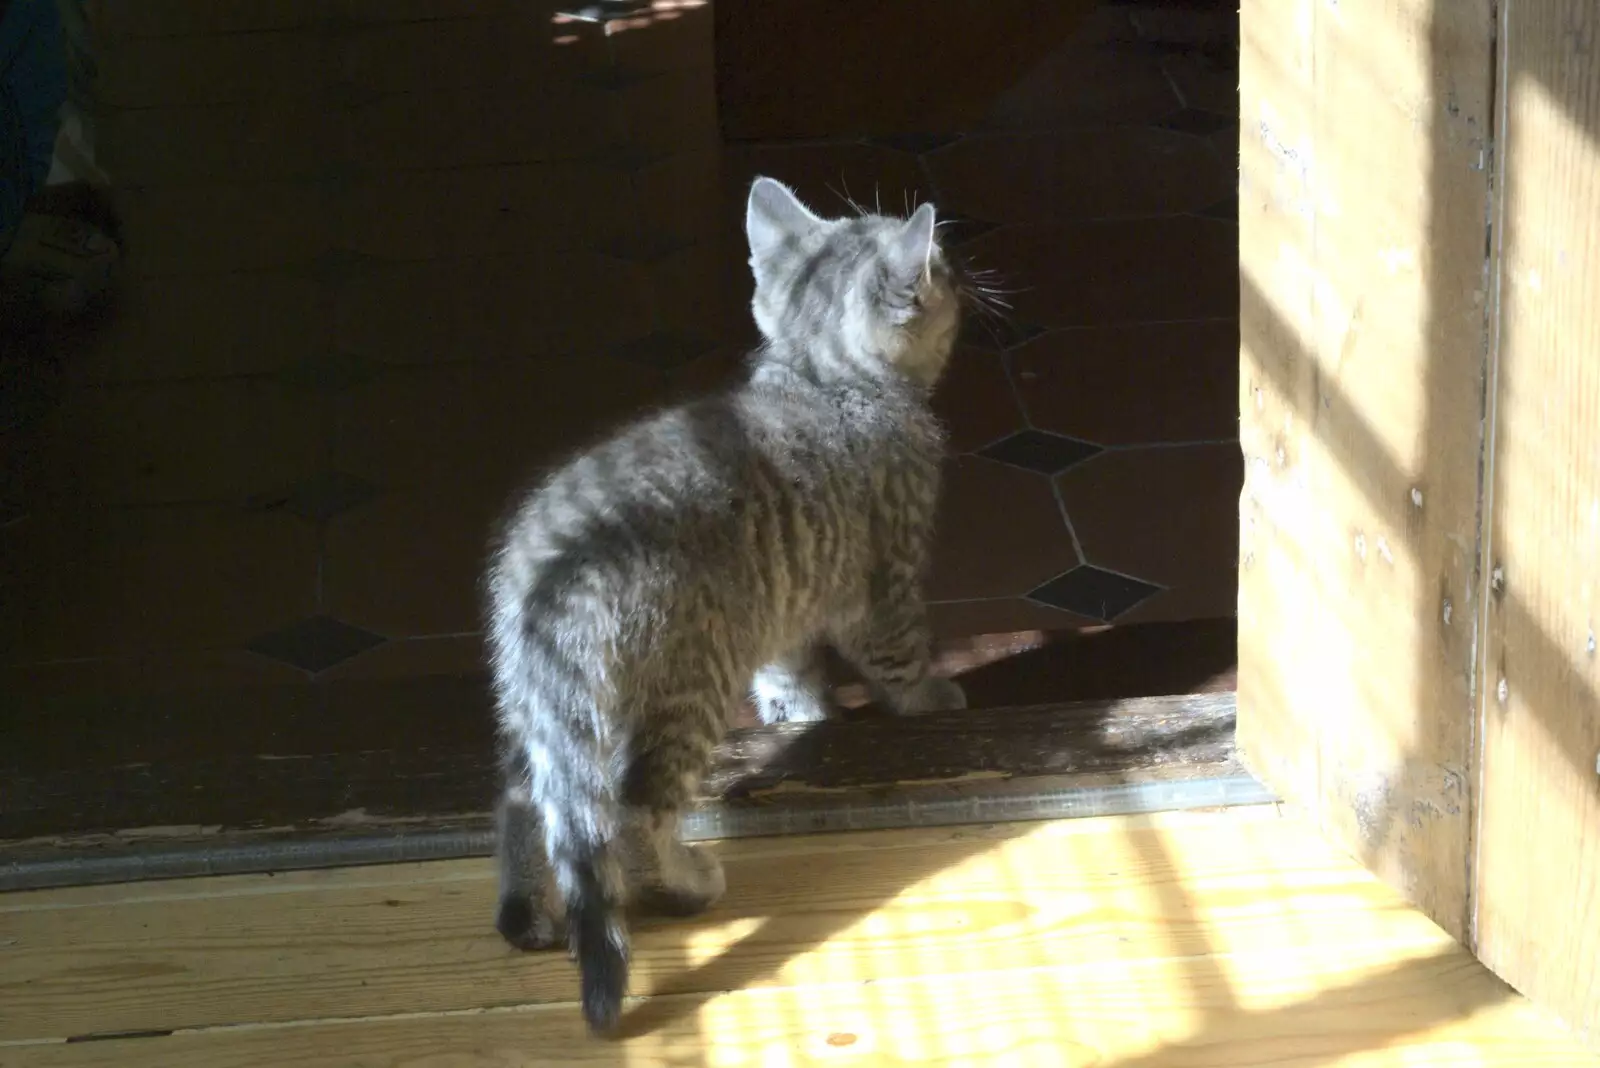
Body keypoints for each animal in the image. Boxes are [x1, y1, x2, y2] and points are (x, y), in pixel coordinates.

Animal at [483, 177, 960, 1036]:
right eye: (940, 263)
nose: (963, 274)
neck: (820, 377)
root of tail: (556, 565)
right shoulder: (885, 582)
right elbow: (900, 655)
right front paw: (935, 703)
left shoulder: (792, 603)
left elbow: (792, 675)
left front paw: (805, 715)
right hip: (689, 681)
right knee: (634, 808)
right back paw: (684, 885)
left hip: (535, 704)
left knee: (524, 796)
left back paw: (526, 911)